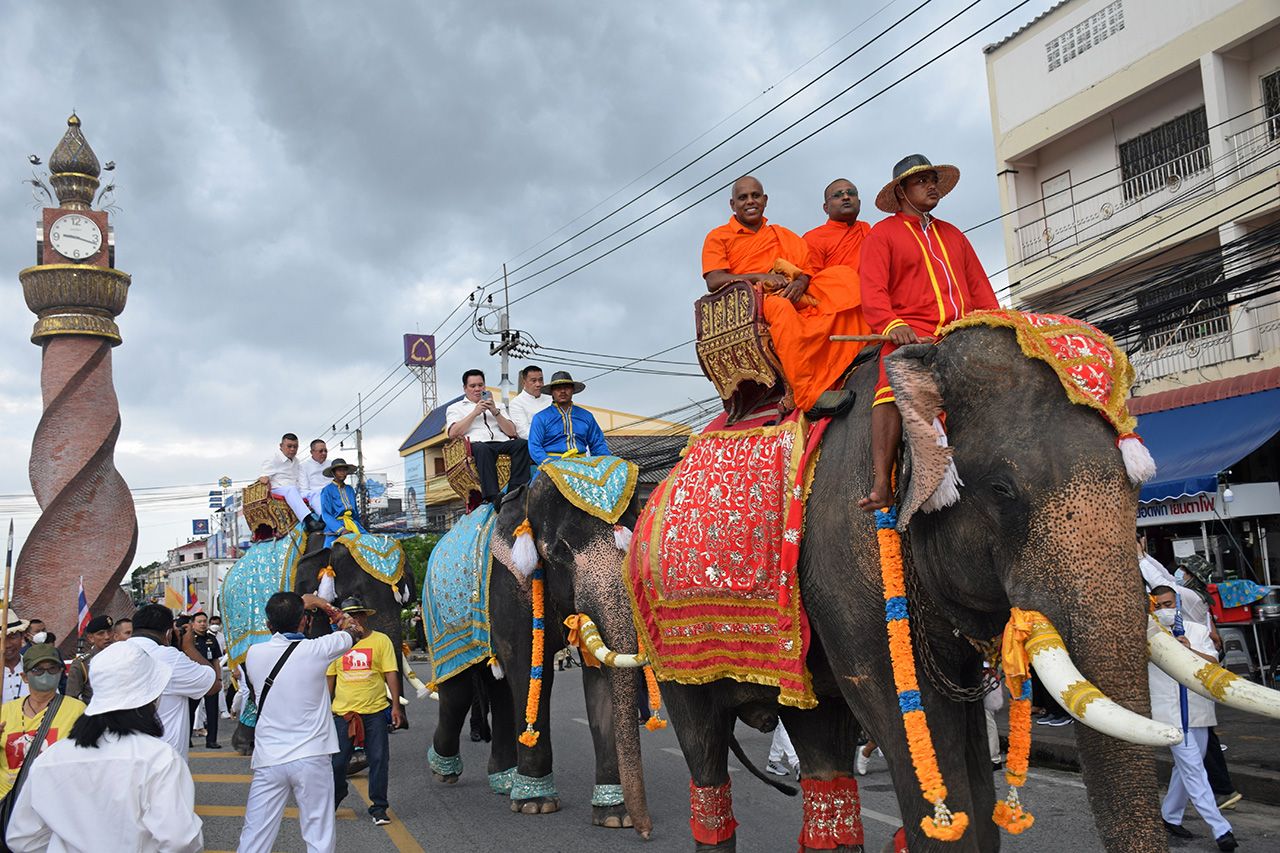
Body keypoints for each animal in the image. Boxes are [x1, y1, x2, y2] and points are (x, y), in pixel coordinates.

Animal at [424, 481, 655, 835]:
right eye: (559, 552)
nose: (645, 831)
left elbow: (599, 676)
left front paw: (614, 816)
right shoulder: (509, 582)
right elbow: (531, 669)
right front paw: (536, 804)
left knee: (499, 690)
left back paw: (504, 780)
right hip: (440, 618)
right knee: (458, 689)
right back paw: (443, 771)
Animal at [581, 315, 1280, 845]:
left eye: (1138, 488)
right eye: (1001, 491)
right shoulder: (851, 566)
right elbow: (927, 755)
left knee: (823, 760)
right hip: (670, 646)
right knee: (705, 762)